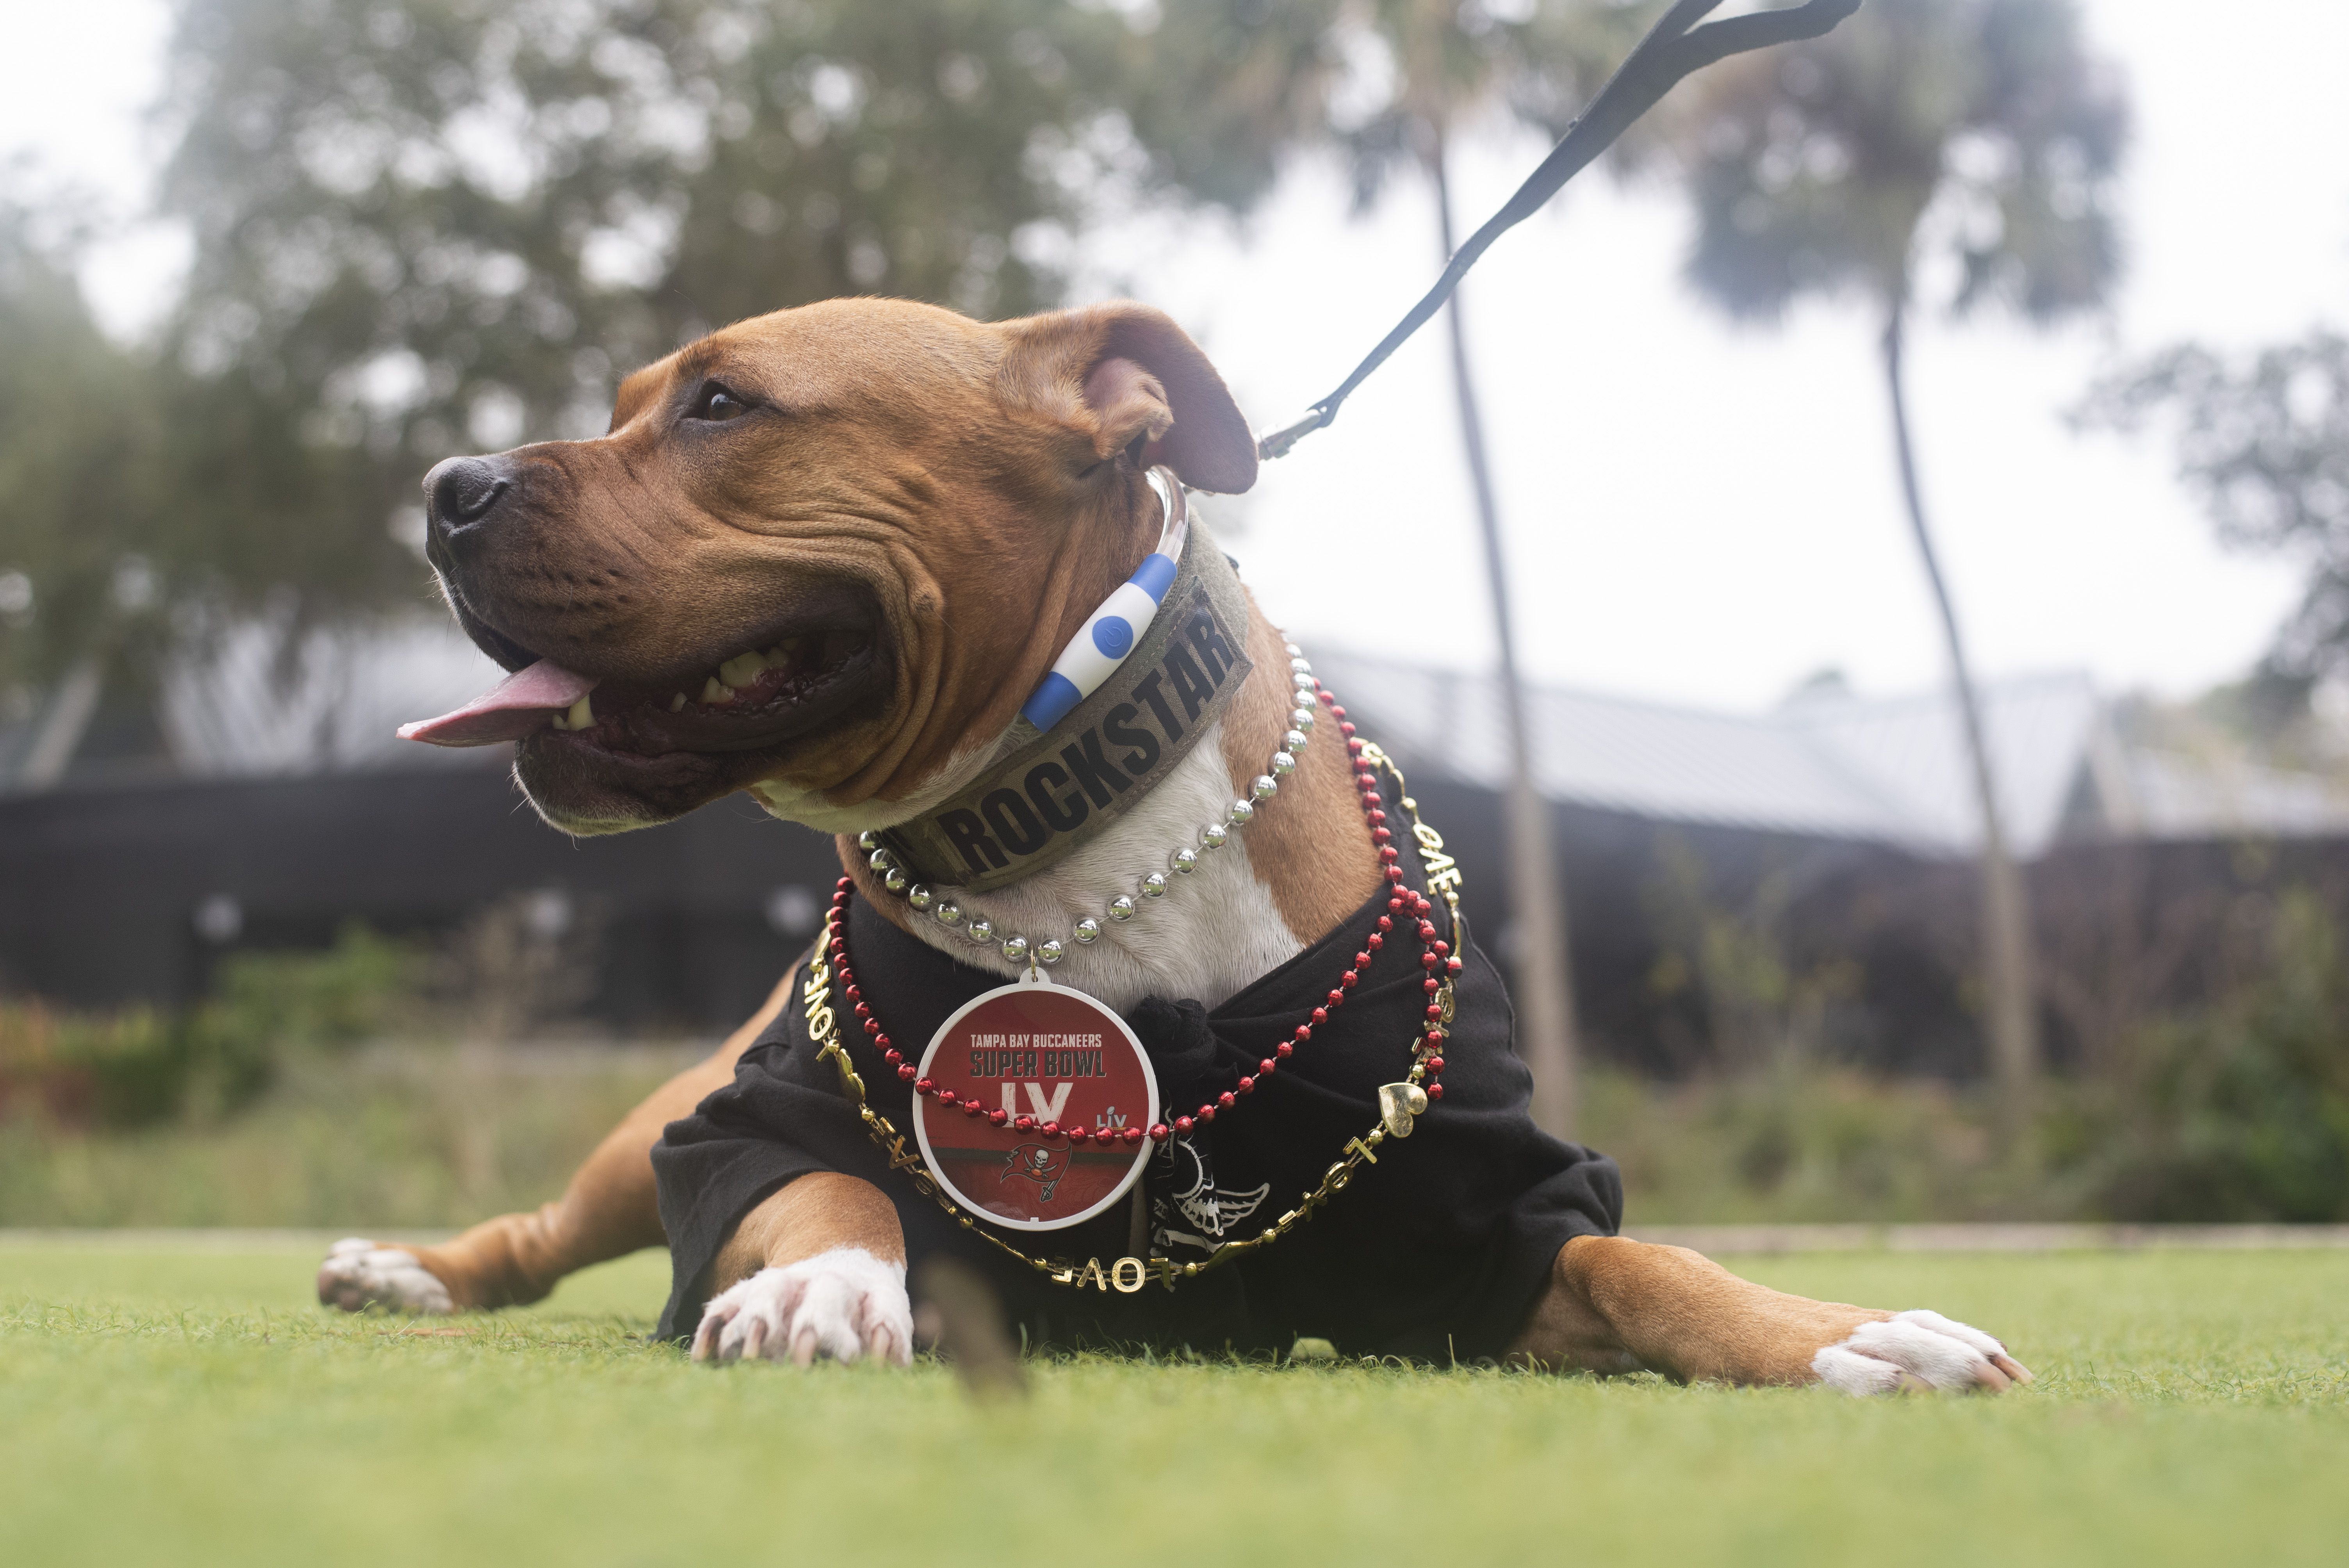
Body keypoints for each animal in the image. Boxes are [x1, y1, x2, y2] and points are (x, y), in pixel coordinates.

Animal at [317, 297, 2039, 1399]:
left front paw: (1842, 1332)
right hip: (652, 1120)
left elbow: (1647, 1265)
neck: (1072, 837)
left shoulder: (1485, 1234)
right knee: (543, 1233)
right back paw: (411, 1272)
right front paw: (822, 1283)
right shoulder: (746, 1125)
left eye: (722, 405)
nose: (444, 486)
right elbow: (831, 1191)